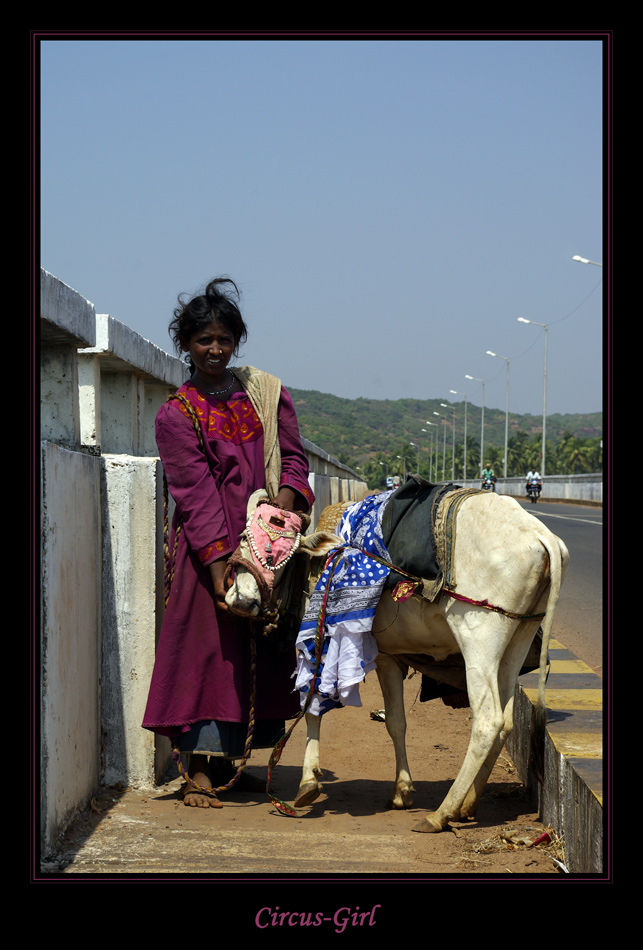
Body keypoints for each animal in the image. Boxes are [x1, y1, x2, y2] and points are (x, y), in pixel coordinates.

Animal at [225, 490, 568, 832]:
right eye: (244, 538)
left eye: (277, 551)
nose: (238, 600)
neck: (316, 563)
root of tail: (541, 534)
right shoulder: (390, 655)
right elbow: (397, 722)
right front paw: (402, 789)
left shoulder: (349, 648)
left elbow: (314, 709)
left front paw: (308, 783)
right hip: (518, 638)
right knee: (507, 721)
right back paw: (468, 805)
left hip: (479, 639)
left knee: (488, 722)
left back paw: (442, 813)